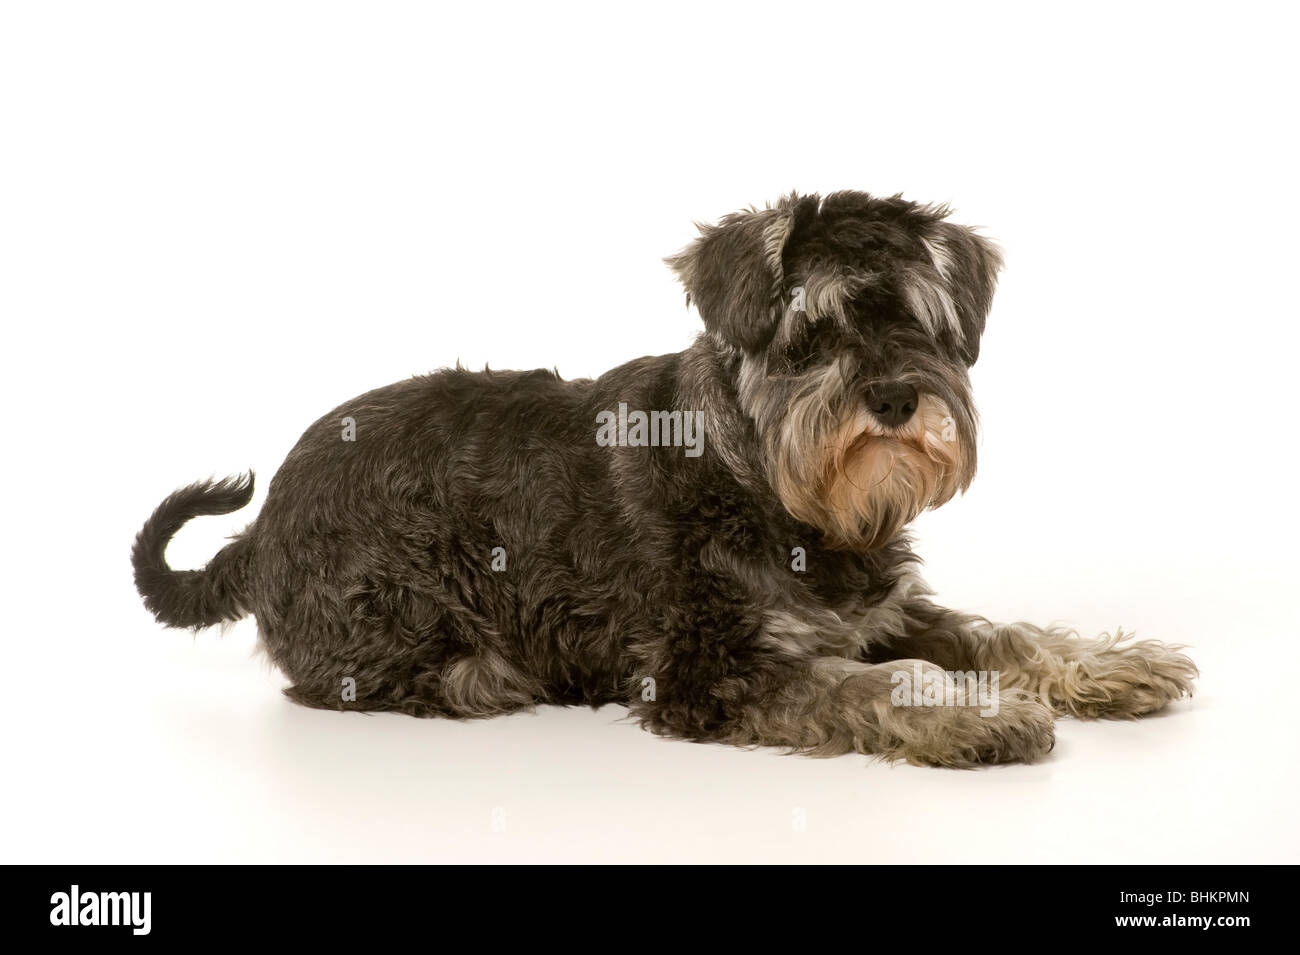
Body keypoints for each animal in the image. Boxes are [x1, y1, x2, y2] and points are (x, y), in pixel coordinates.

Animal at [134, 192, 1196, 769]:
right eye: (811, 331)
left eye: (925, 323)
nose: (896, 398)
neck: (765, 483)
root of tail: (258, 532)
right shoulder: (715, 666)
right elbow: (880, 679)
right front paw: (978, 710)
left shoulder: (884, 606)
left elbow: (993, 631)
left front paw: (1112, 665)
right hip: (397, 606)